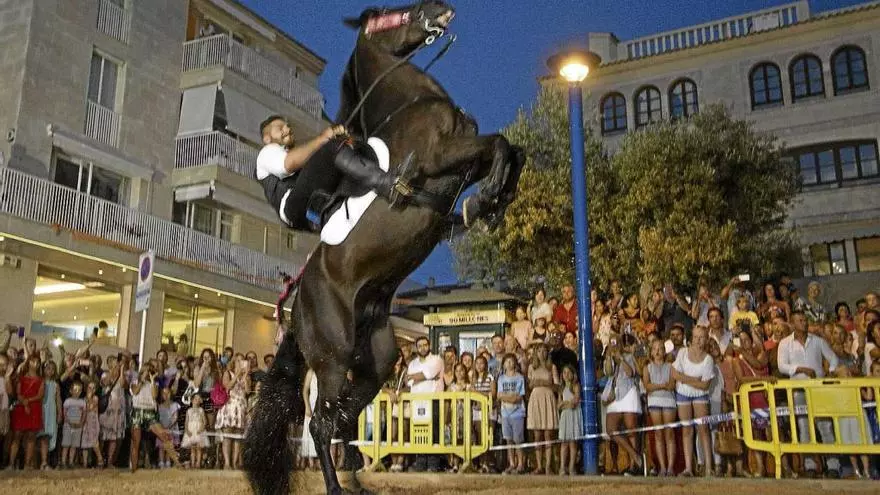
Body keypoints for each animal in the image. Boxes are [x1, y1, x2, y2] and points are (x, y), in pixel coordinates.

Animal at [243, 2, 525, 494]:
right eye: (395, 13)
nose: (439, 8)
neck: (412, 103)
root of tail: (296, 311)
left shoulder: (463, 158)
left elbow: (514, 151)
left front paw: (493, 201)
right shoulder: (444, 155)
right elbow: (500, 143)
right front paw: (484, 200)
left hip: (377, 357)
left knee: (343, 417)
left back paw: (356, 476)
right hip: (333, 355)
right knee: (320, 423)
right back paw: (338, 485)